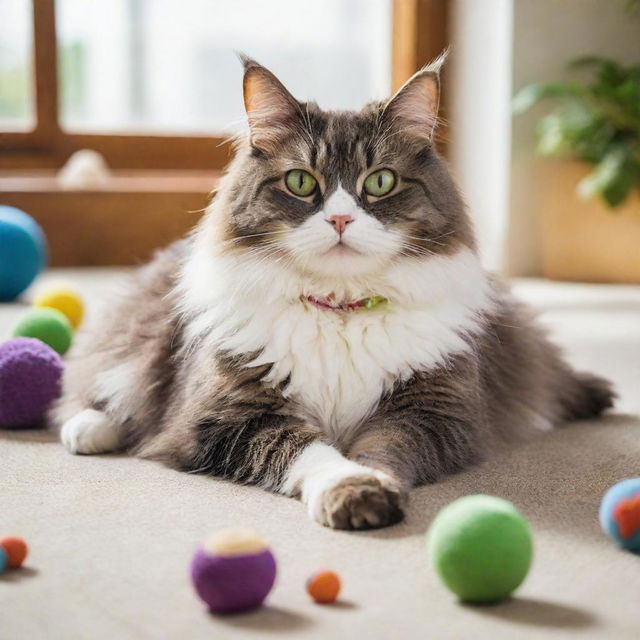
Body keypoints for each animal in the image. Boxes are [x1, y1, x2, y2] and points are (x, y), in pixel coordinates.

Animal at [55, 57, 616, 528]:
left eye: (381, 181)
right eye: (302, 182)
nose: (341, 220)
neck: (341, 308)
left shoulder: (432, 412)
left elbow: (382, 450)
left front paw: (372, 485)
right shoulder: (230, 416)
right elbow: (312, 453)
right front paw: (351, 491)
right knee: (108, 387)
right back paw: (89, 430)